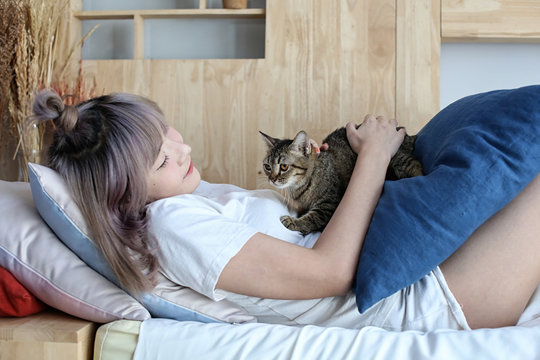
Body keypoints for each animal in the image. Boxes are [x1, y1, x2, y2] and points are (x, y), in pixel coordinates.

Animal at [260, 125, 422, 235]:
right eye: (267, 166)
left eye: (284, 166)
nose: (272, 179)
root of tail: (409, 136)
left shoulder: (329, 203)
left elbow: (313, 218)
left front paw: (294, 222)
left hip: (400, 161)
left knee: (418, 169)